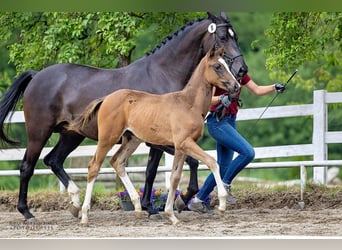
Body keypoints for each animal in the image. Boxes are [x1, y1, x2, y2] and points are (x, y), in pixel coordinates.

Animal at [0, 12, 246, 219]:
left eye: (235, 35)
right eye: (222, 37)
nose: (242, 71)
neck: (163, 74)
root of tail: (36, 76)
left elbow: (155, 170)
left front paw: (154, 206)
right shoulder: (158, 141)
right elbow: (175, 166)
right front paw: (167, 204)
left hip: (71, 135)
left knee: (53, 160)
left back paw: (75, 203)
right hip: (39, 133)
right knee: (27, 167)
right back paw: (26, 212)